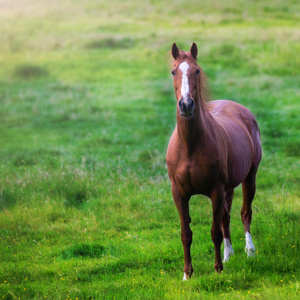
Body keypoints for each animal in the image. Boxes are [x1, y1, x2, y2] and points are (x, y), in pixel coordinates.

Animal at [165, 43, 262, 280]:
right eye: (173, 72)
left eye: (197, 71)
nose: (186, 105)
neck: (189, 146)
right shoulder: (178, 193)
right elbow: (186, 233)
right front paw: (187, 274)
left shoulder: (216, 190)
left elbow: (215, 231)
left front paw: (218, 269)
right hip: (229, 187)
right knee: (226, 217)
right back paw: (229, 254)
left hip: (249, 177)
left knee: (245, 213)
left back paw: (249, 252)